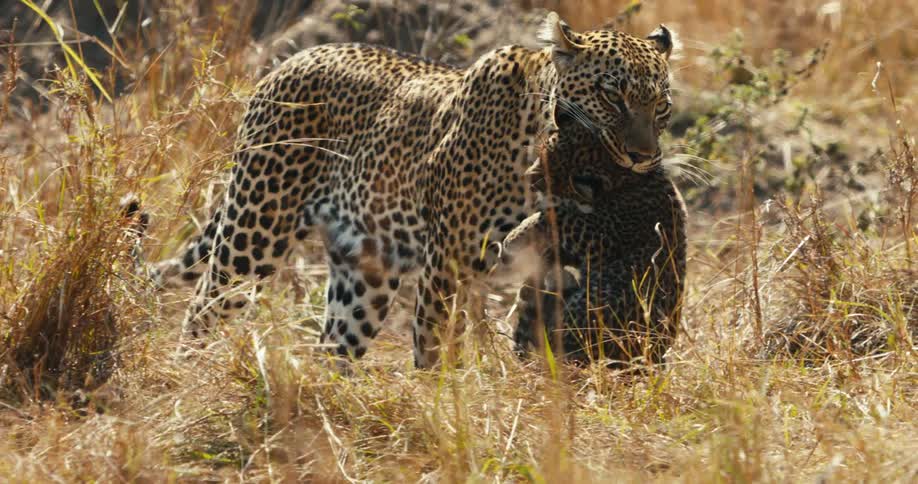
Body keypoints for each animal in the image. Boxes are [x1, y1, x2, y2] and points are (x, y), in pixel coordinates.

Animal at [503, 122, 686, 368]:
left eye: (547, 170)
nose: (529, 179)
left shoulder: (598, 233)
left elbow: (557, 215)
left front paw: (512, 239)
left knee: (558, 344)